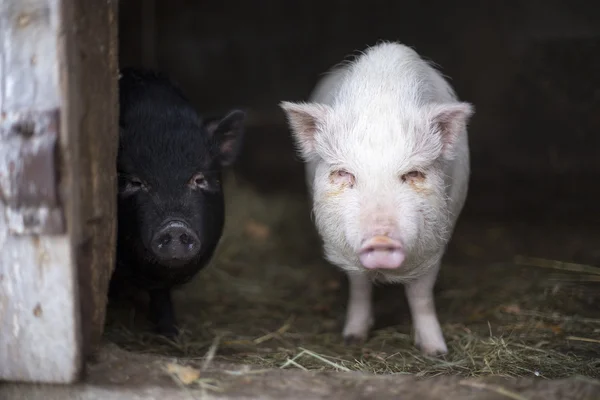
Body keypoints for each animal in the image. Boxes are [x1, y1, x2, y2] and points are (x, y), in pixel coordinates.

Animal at [280, 40, 474, 354]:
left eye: (413, 173)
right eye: (344, 174)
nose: (381, 239)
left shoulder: (435, 244)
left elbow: (421, 295)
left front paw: (437, 352)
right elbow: (359, 287)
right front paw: (352, 339)